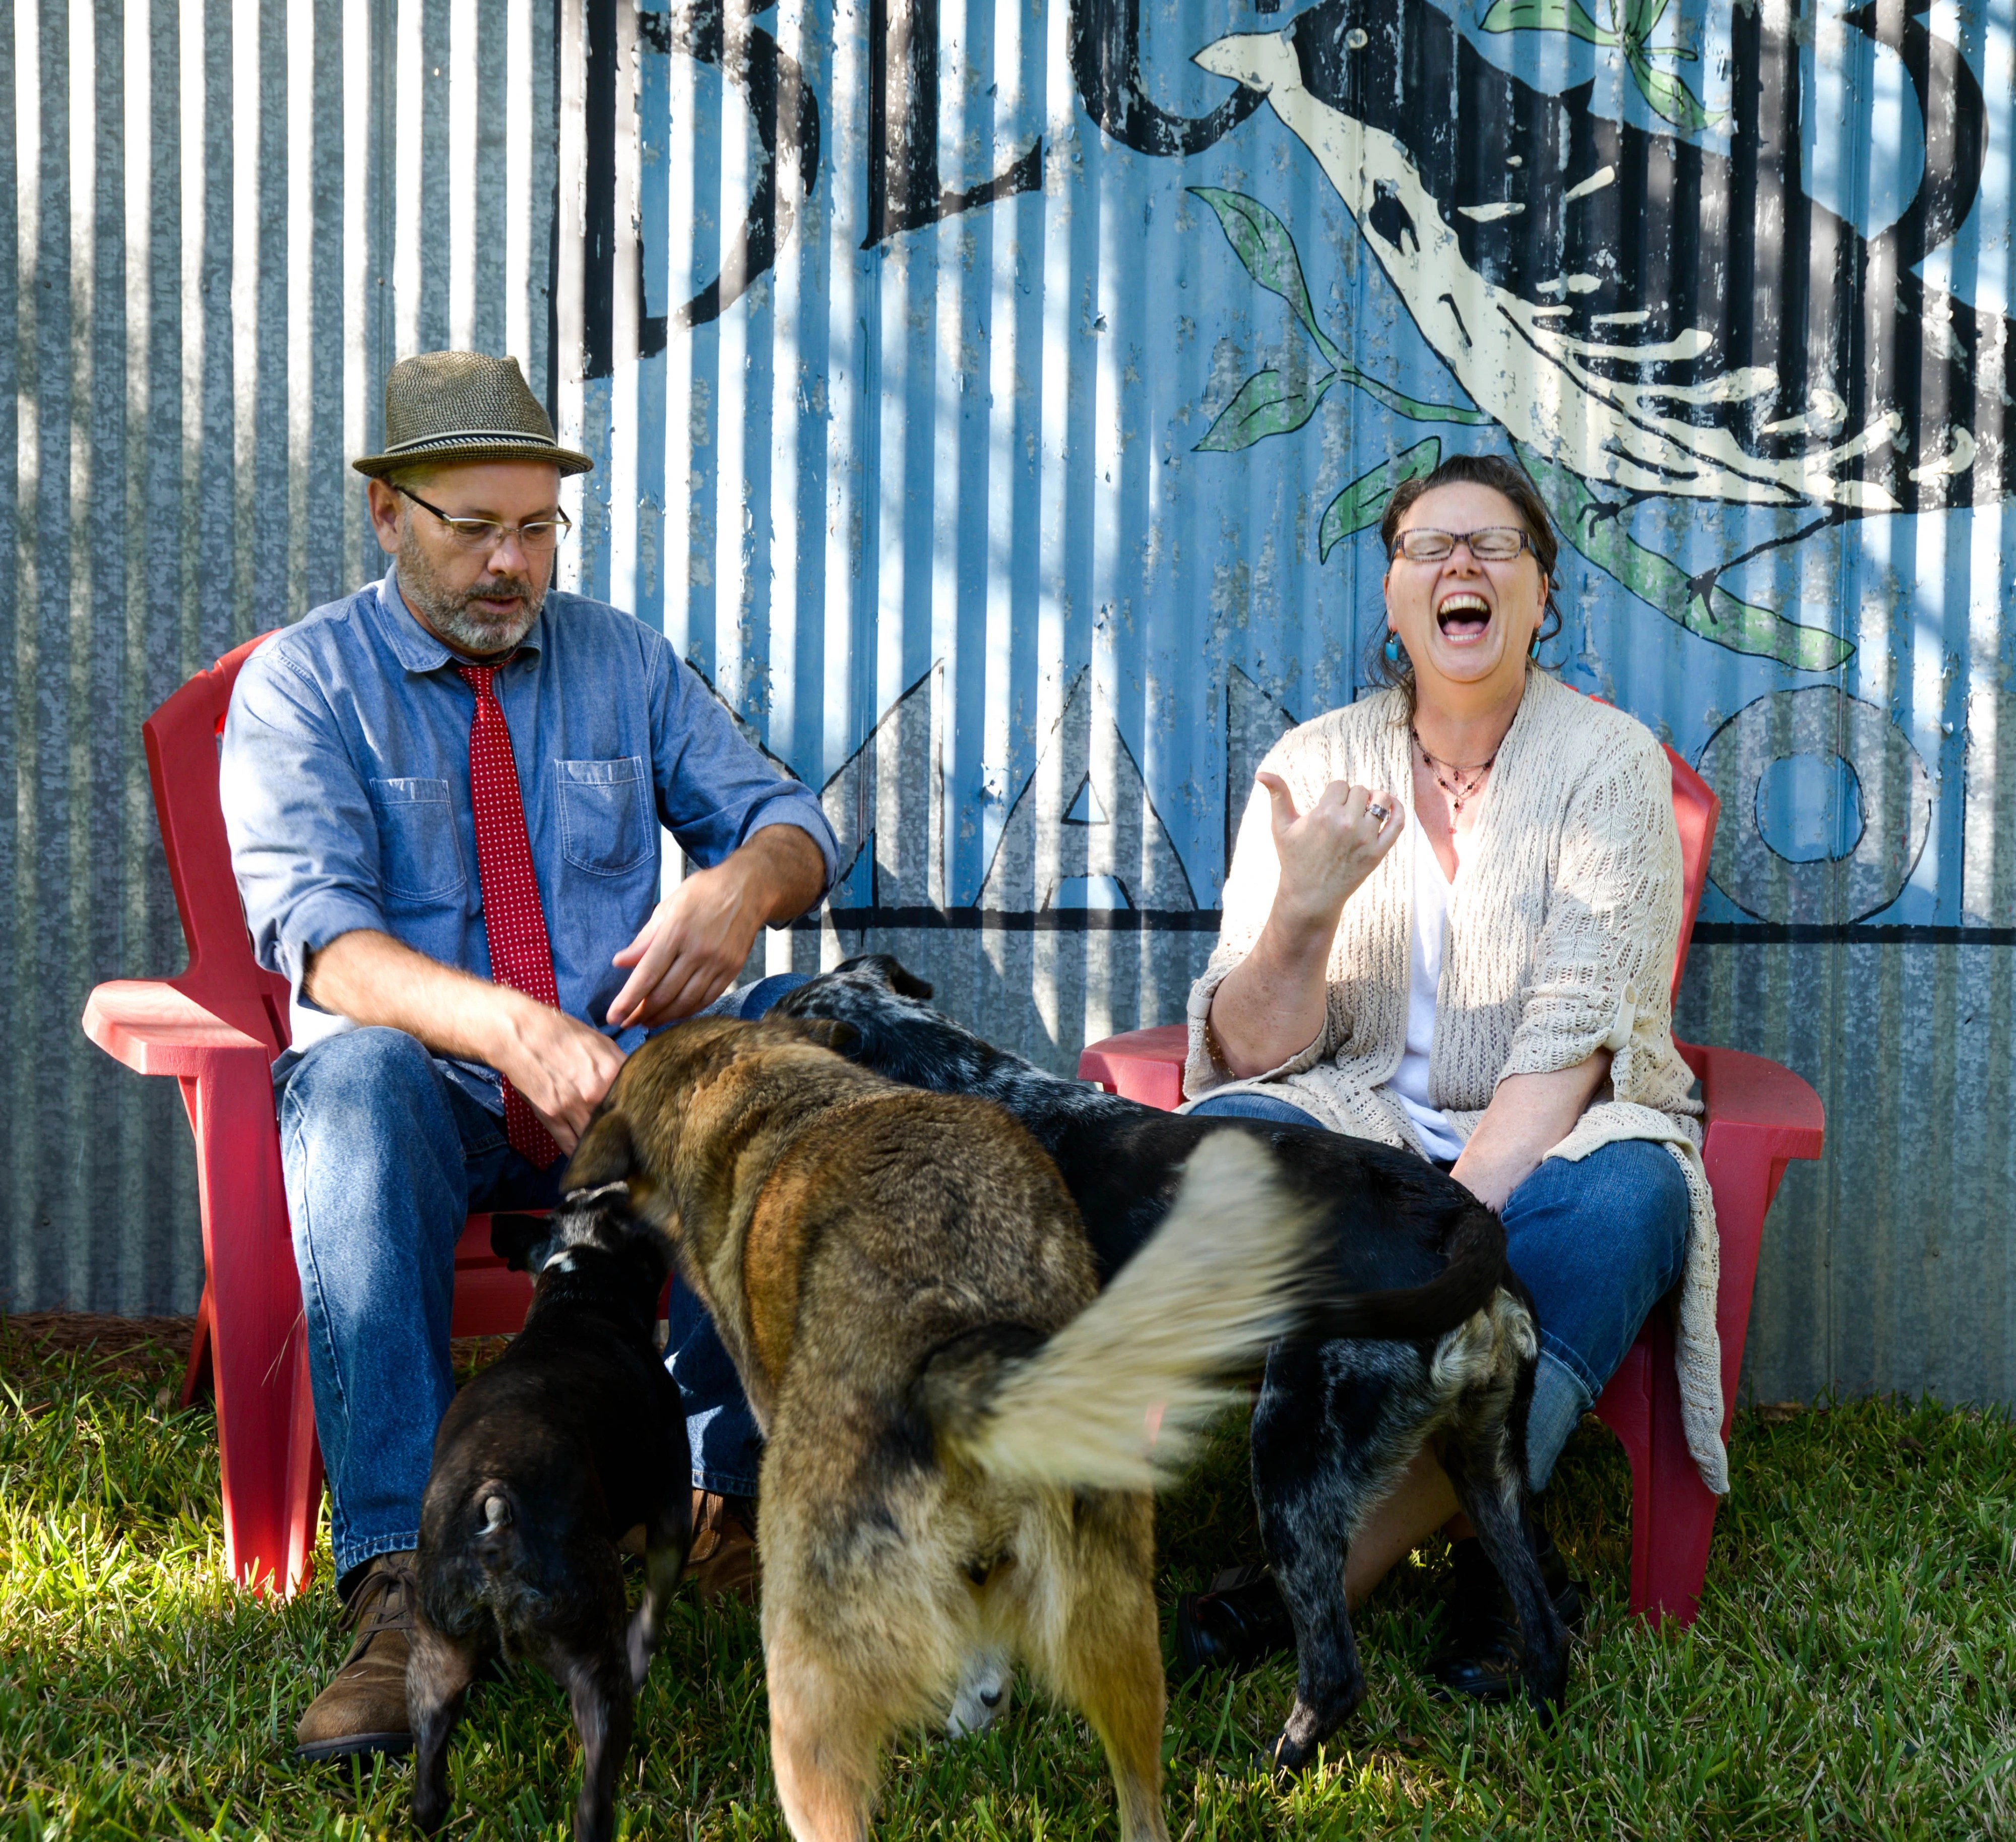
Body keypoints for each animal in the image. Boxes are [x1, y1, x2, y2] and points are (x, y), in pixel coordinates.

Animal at [406, 1187, 691, 1842]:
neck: (578, 1290)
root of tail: (494, 1506)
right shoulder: (672, 1509)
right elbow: (655, 1603)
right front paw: (646, 1650)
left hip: (436, 1652)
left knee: (428, 1773)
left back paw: (432, 1814)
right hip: (593, 1663)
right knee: (593, 1800)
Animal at [775, 956, 1569, 1762]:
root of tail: (1454, 1217)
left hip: (1293, 1462)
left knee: (1335, 1674)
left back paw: (1271, 1765)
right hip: (1486, 1464)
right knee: (1544, 1629)